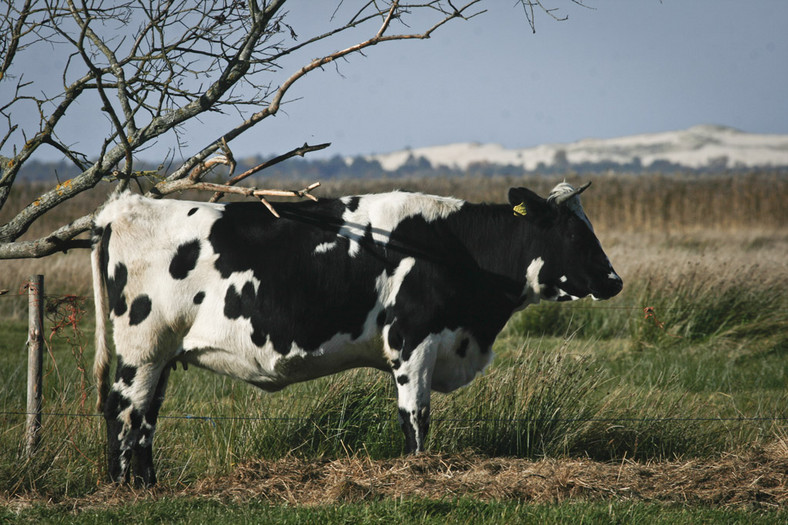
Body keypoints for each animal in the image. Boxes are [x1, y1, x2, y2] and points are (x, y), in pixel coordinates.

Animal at [91, 182, 620, 486]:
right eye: (575, 234)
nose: (614, 281)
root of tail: (124, 206)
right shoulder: (413, 341)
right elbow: (416, 417)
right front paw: (417, 471)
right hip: (143, 345)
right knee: (124, 410)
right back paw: (124, 490)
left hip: (162, 354)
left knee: (146, 418)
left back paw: (149, 486)